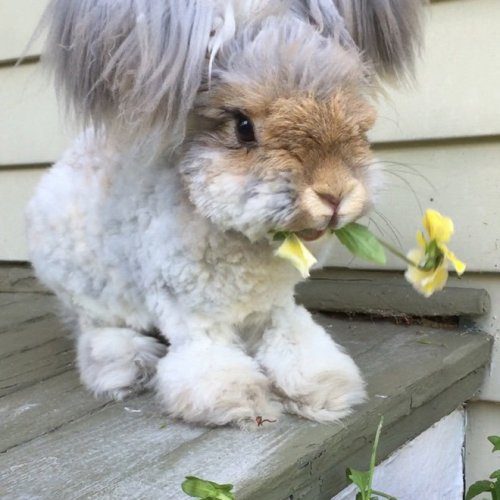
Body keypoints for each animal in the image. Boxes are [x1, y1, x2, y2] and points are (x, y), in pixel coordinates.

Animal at [26, 0, 423, 428]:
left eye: (358, 121)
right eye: (243, 126)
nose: (335, 193)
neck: (244, 238)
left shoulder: (276, 306)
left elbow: (294, 339)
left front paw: (325, 390)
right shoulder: (188, 313)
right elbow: (208, 359)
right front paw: (242, 402)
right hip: (89, 290)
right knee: (92, 330)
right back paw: (127, 365)